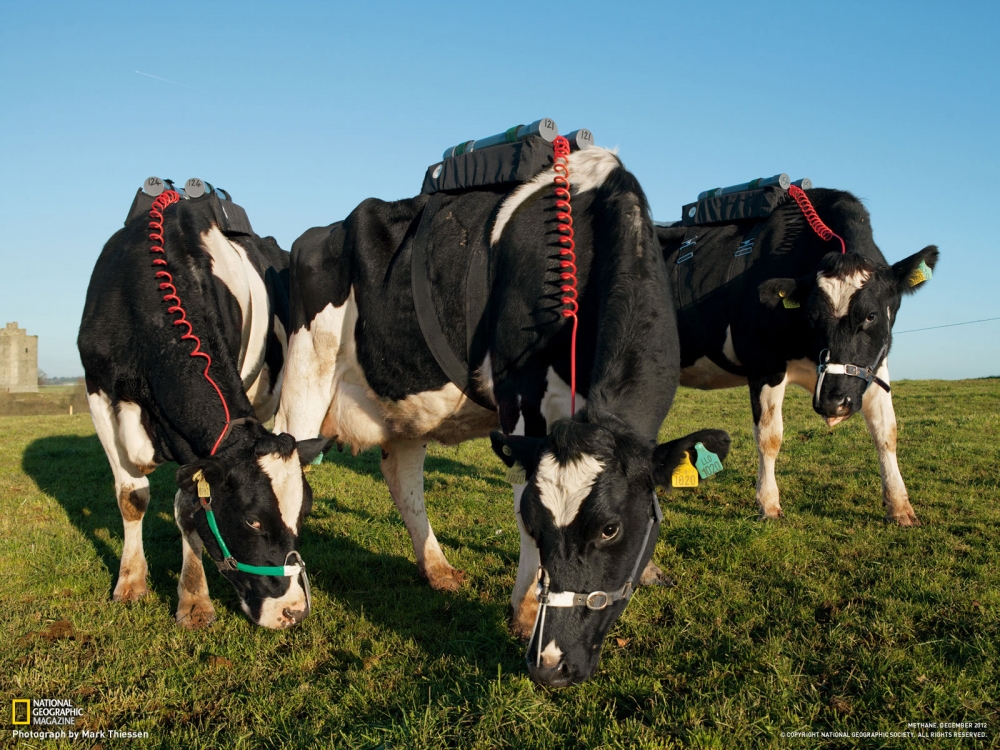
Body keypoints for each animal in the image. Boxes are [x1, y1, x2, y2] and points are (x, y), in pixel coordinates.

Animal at [81, 194, 326, 628]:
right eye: (251, 519)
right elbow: (131, 496)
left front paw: (194, 600)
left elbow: (188, 506)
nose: (294, 611)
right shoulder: (97, 390)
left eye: (304, 514)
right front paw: (130, 582)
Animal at [278, 147, 732, 688]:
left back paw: (437, 569)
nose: (551, 665)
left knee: (402, 477)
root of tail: (315, 234)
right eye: (539, 524)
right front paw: (525, 608)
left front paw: (645, 570)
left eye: (610, 529)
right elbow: (519, 501)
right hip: (304, 375)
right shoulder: (520, 400)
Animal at [656, 188, 936, 524]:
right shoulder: (765, 364)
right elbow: (770, 436)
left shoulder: (874, 367)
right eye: (811, 316)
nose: (833, 402)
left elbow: (886, 431)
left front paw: (900, 506)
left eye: (870, 316)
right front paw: (768, 504)